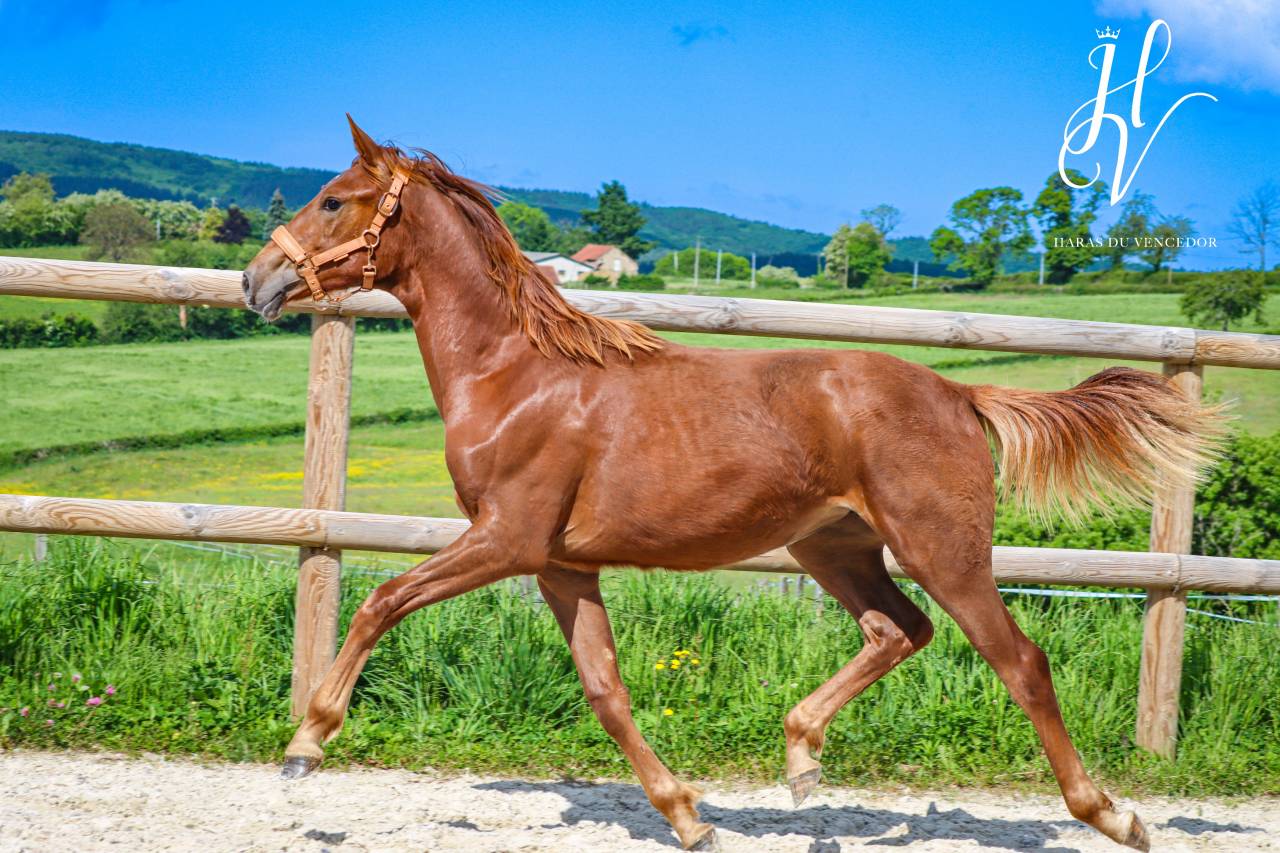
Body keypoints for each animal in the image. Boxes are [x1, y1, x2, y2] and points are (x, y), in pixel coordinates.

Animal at [242, 117, 1223, 851]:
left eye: (334, 199)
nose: (256, 280)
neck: (515, 374)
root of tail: (958, 392)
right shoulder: (560, 563)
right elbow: (605, 689)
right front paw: (688, 817)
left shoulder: (505, 539)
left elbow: (382, 600)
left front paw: (305, 744)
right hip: (832, 546)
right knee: (898, 629)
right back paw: (801, 759)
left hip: (942, 548)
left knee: (1017, 660)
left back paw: (1113, 815)